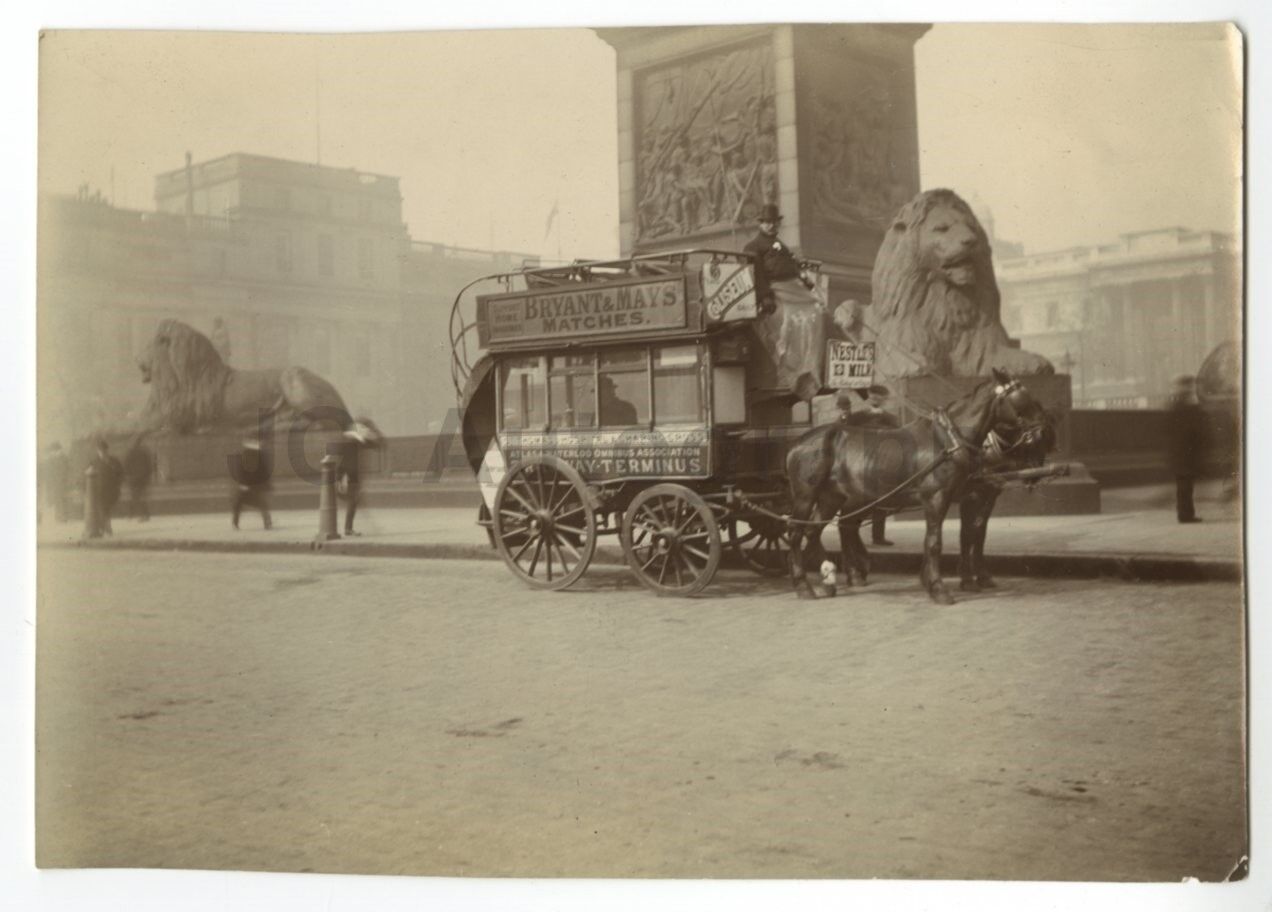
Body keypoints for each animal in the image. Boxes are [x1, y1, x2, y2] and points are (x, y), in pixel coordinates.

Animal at [783, 368, 1053, 605]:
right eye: (1022, 400)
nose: (1044, 433)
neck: (948, 441)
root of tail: (799, 442)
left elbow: (967, 535)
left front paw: (940, 580)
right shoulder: (940, 498)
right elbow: (936, 542)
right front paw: (939, 587)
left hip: (833, 497)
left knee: (814, 531)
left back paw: (829, 578)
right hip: (807, 495)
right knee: (796, 532)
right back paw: (805, 585)